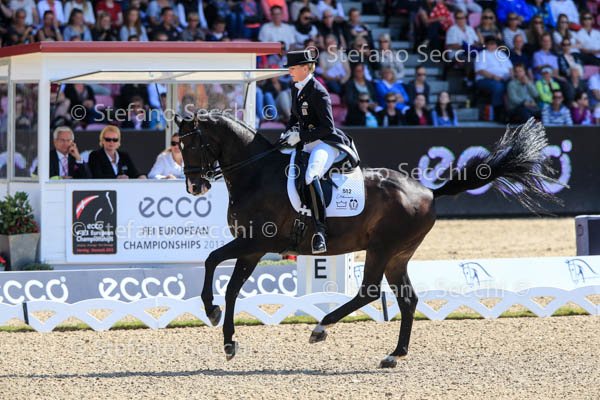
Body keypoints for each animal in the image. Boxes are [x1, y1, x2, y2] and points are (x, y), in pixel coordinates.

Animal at [176, 113, 558, 368]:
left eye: (193, 143)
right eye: (178, 145)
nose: (195, 186)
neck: (256, 174)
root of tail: (428, 192)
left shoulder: (256, 243)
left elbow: (211, 260)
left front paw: (211, 312)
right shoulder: (251, 249)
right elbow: (231, 288)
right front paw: (227, 338)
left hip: (381, 249)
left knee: (370, 291)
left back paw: (321, 328)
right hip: (397, 255)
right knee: (406, 298)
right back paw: (394, 354)